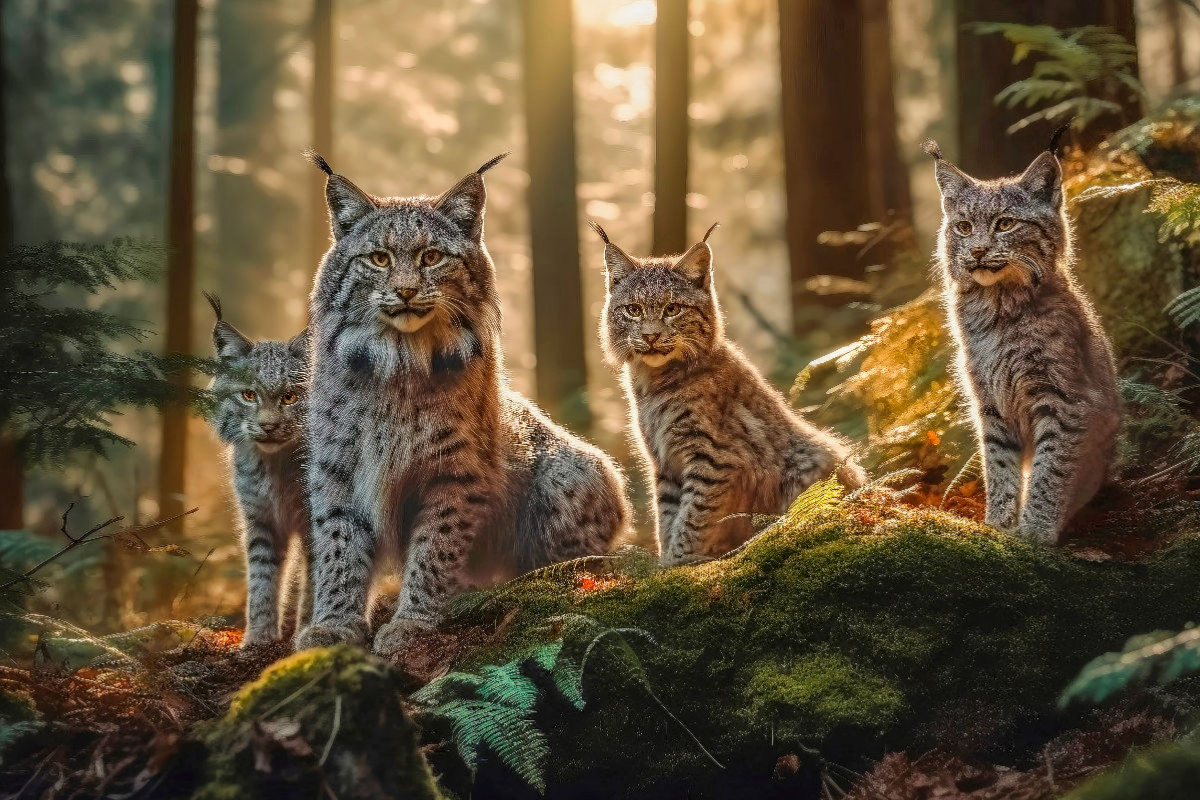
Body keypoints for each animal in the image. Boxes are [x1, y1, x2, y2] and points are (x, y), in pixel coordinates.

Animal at [201, 297, 307, 647]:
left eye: (290, 396)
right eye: (248, 395)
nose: (268, 426)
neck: (275, 465)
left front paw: (309, 633)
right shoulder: (260, 516)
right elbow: (262, 575)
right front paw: (259, 638)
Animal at [296, 151, 633, 657]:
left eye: (431, 257)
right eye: (379, 259)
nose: (407, 291)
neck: (399, 359)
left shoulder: (454, 470)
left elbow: (435, 548)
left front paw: (413, 623)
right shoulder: (337, 465)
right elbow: (339, 545)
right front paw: (332, 627)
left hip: (580, 470)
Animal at [597, 221, 864, 566]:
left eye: (672, 309)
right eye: (633, 310)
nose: (651, 336)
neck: (654, 381)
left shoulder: (714, 457)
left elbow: (692, 518)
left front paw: (679, 564)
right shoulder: (664, 461)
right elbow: (667, 517)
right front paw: (666, 563)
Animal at [926, 134, 1113, 544]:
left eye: (1005, 224)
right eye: (964, 228)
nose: (977, 250)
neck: (997, 306)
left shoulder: (1064, 397)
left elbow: (1051, 466)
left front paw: (1036, 532)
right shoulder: (989, 397)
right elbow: (998, 463)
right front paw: (999, 525)